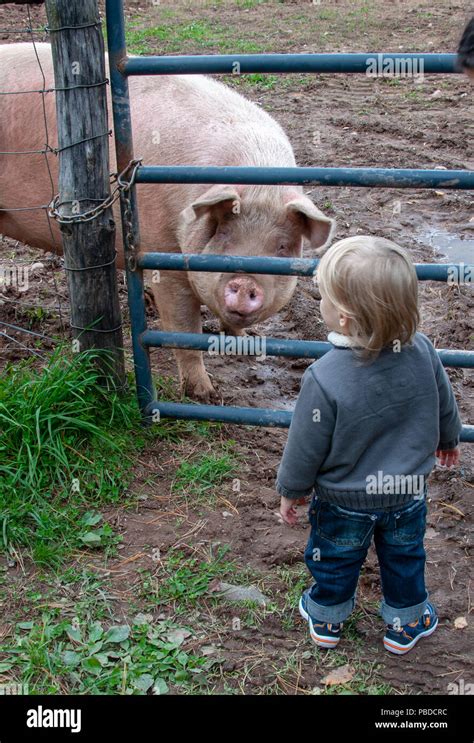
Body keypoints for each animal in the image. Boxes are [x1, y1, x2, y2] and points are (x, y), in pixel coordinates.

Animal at [0, 43, 336, 404]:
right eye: (224, 235)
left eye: (282, 246)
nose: (244, 283)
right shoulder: (161, 251)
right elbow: (184, 327)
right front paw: (206, 395)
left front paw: (246, 339)